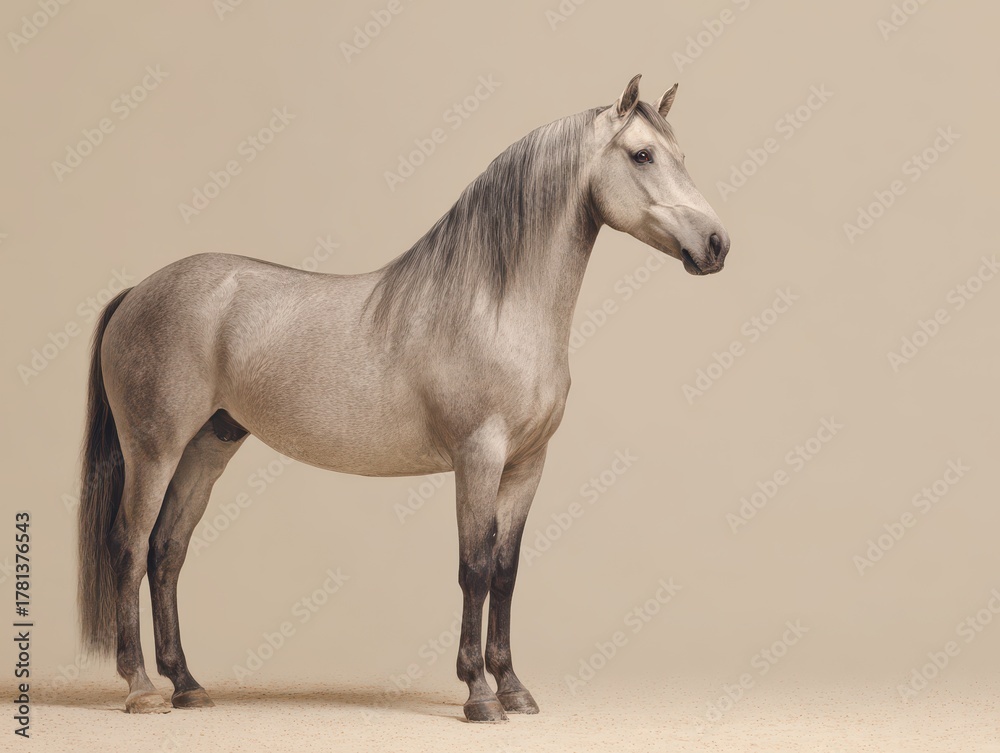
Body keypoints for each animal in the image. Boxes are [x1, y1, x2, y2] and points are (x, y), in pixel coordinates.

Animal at [77, 74, 730, 722]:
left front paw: (514, 687)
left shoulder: (527, 464)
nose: (718, 243)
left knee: (167, 552)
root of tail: (139, 291)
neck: (497, 306)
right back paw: (142, 689)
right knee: (129, 546)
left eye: (682, 156)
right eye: (642, 155)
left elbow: (507, 571)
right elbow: (474, 568)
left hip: (208, 446)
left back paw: (187, 683)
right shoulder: (478, 458)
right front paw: (479, 694)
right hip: (154, 451)